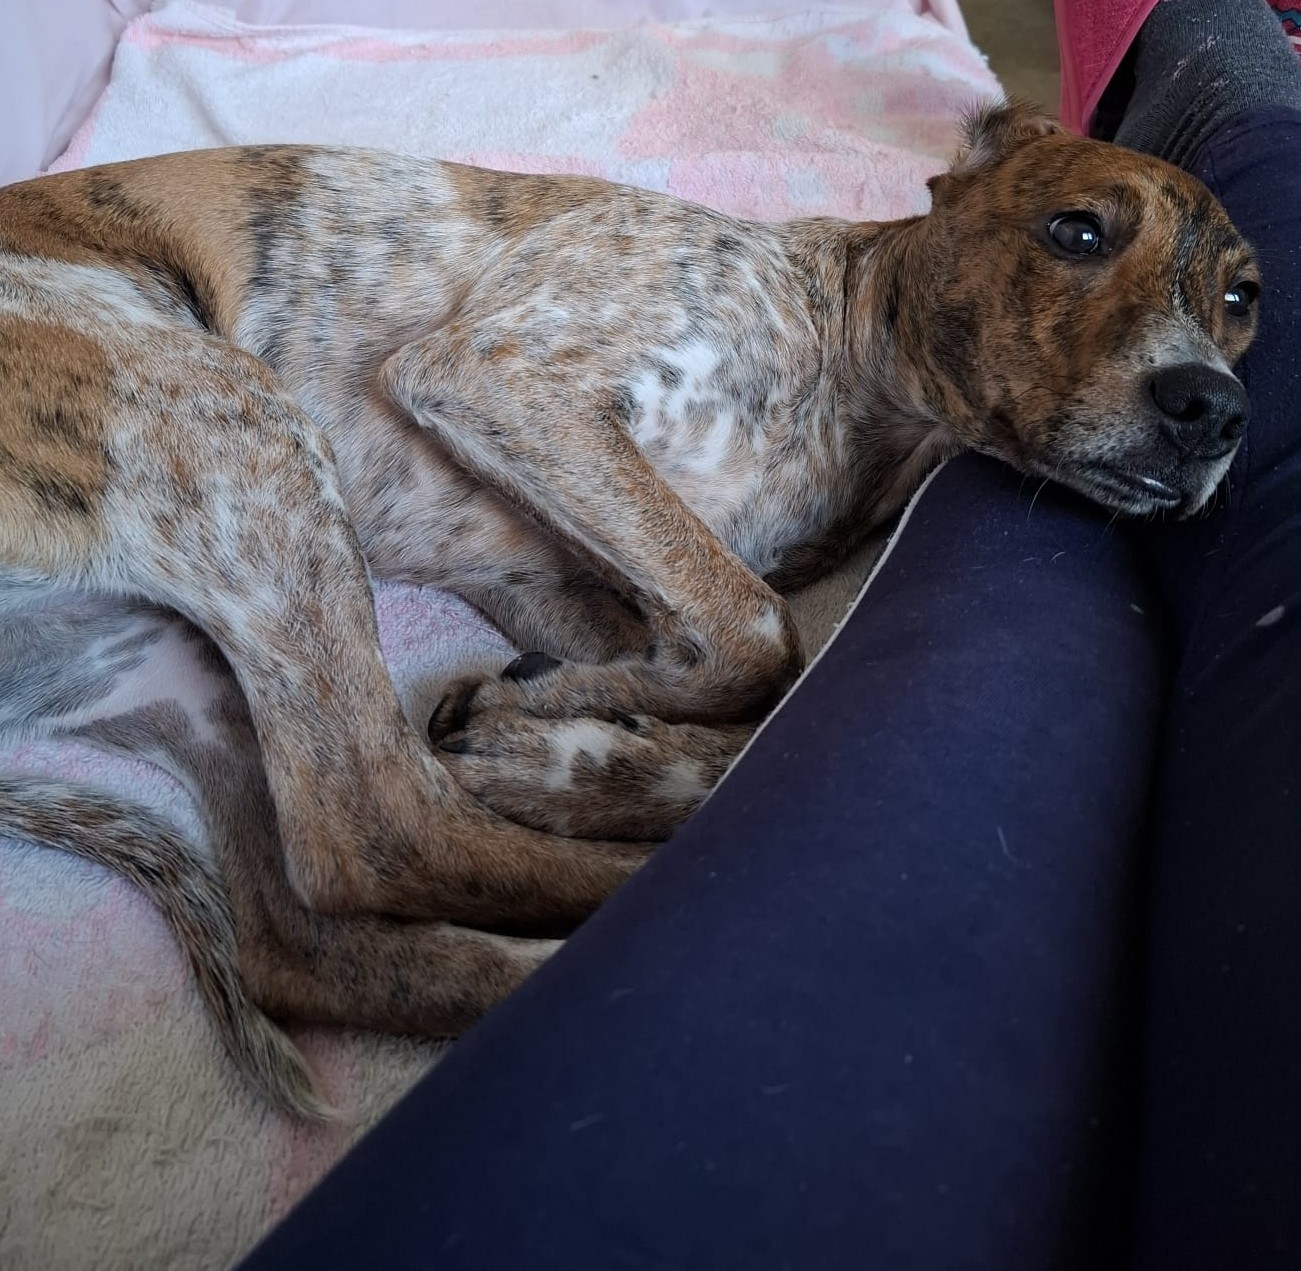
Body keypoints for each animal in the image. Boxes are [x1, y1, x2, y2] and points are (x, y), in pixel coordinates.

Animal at [0, 101, 1259, 1114]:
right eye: (1075, 231)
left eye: (1243, 299)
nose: (1211, 408)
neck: (850, 377)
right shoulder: (505, 377)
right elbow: (760, 633)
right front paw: (563, 739)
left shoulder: (547, 572)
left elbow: (742, 686)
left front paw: (580, 743)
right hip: (232, 424)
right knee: (378, 826)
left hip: (190, 661)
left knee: (303, 935)